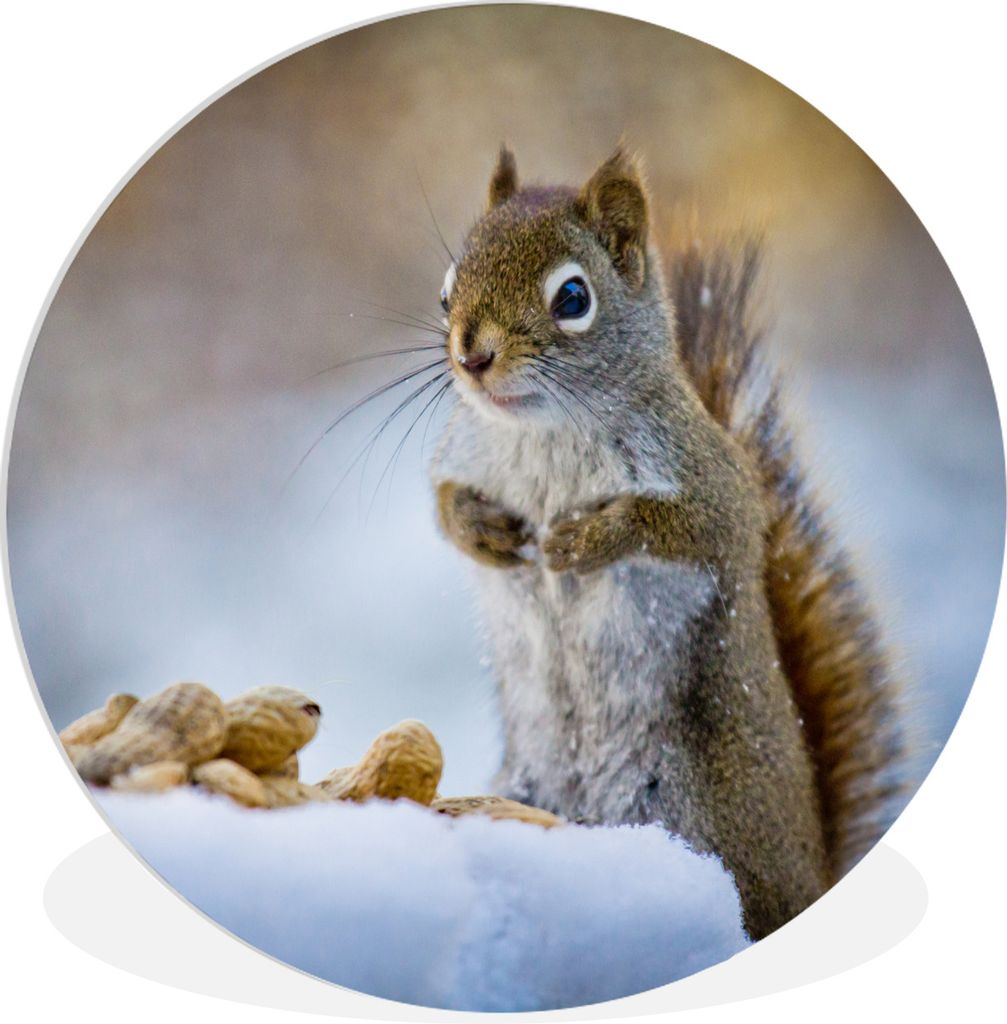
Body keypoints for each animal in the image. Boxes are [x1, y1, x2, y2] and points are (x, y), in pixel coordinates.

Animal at [429, 146, 905, 940]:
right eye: (445, 292)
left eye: (572, 298)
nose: (472, 356)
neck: (544, 432)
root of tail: (812, 884)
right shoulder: (461, 455)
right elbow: (441, 506)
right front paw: (484, 531)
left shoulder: (714, 484)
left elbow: (690, 528)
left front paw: (587, 538)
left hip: (698, 816)